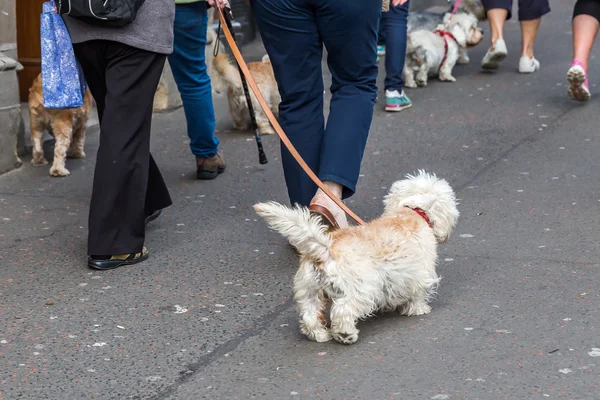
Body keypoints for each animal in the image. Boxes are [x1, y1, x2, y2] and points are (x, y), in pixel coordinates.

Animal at [253, 170, 460, 346]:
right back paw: (345, 334)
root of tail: (326, 249)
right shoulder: (419, 273)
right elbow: (417, 294)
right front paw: (418, 309)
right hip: (358, 290)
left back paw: (321, 335)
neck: (412, 212)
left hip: (308, 291)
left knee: (309, 316)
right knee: (343, 311)